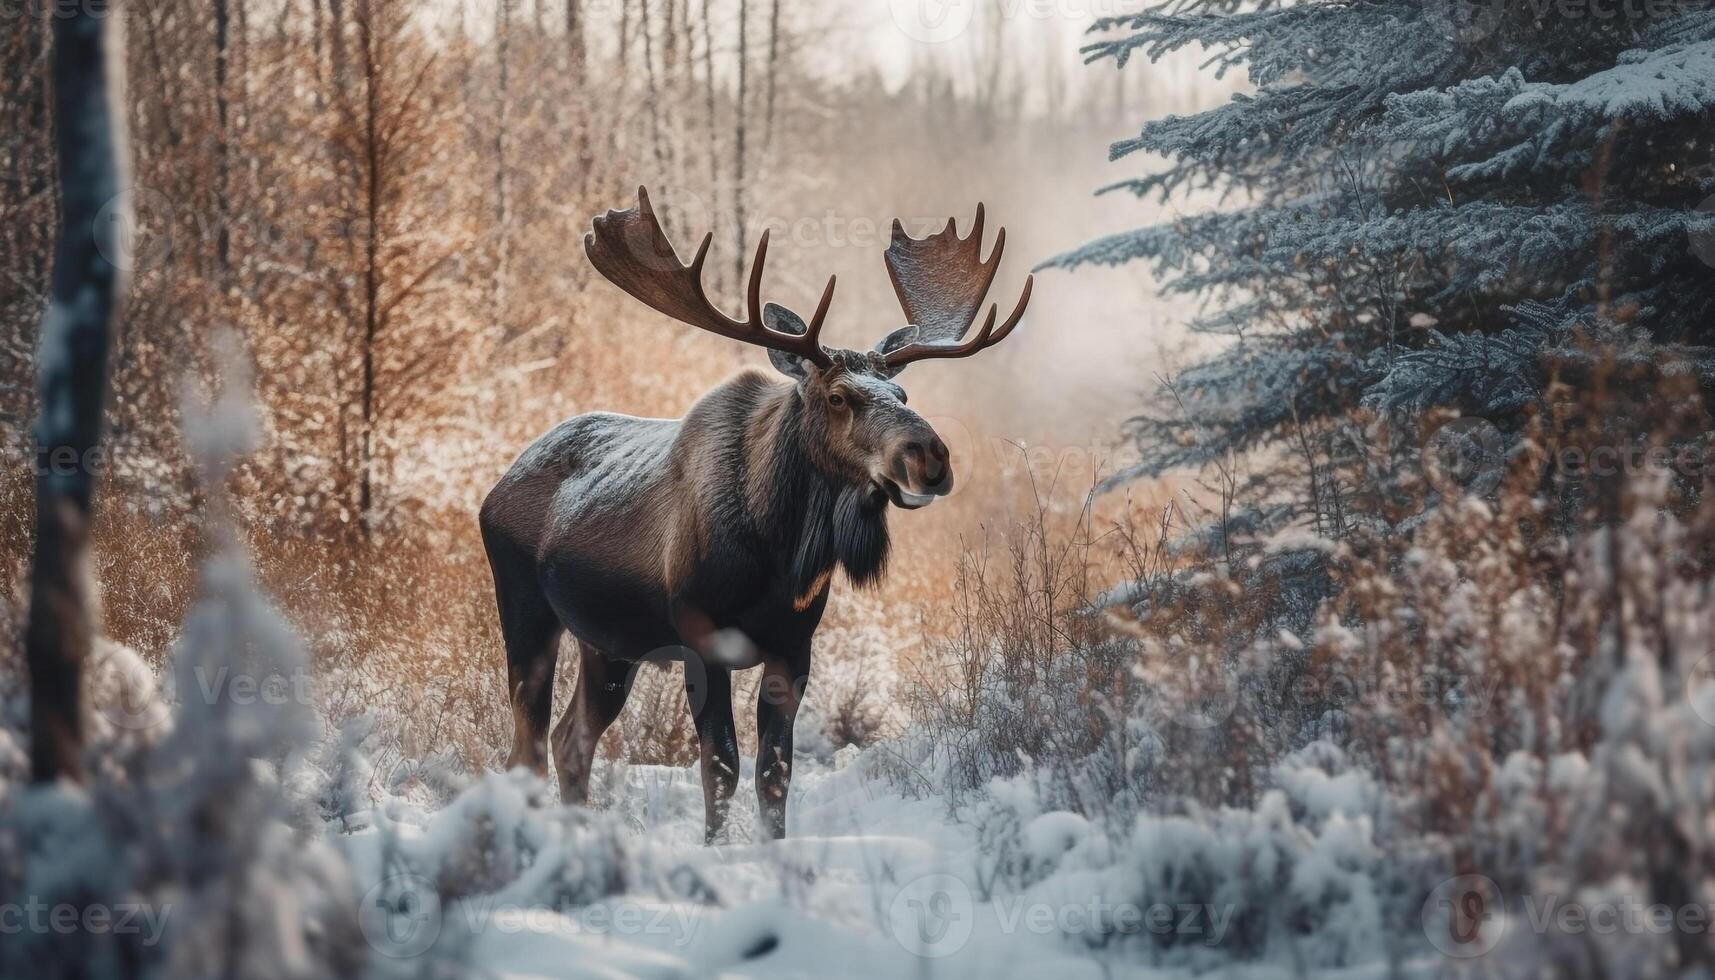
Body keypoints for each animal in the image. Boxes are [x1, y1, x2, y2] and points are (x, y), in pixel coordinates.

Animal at [480, 187, 1029, 840]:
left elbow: (775, 772)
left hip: (608, 645)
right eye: (838, 396)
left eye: (902, 394)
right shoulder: (700, 637)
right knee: (526, 748)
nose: (931, 457)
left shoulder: (795, 648)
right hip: (527, 612)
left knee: (571, 742)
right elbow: (721, 766)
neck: (779, 554)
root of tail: (497, 486)